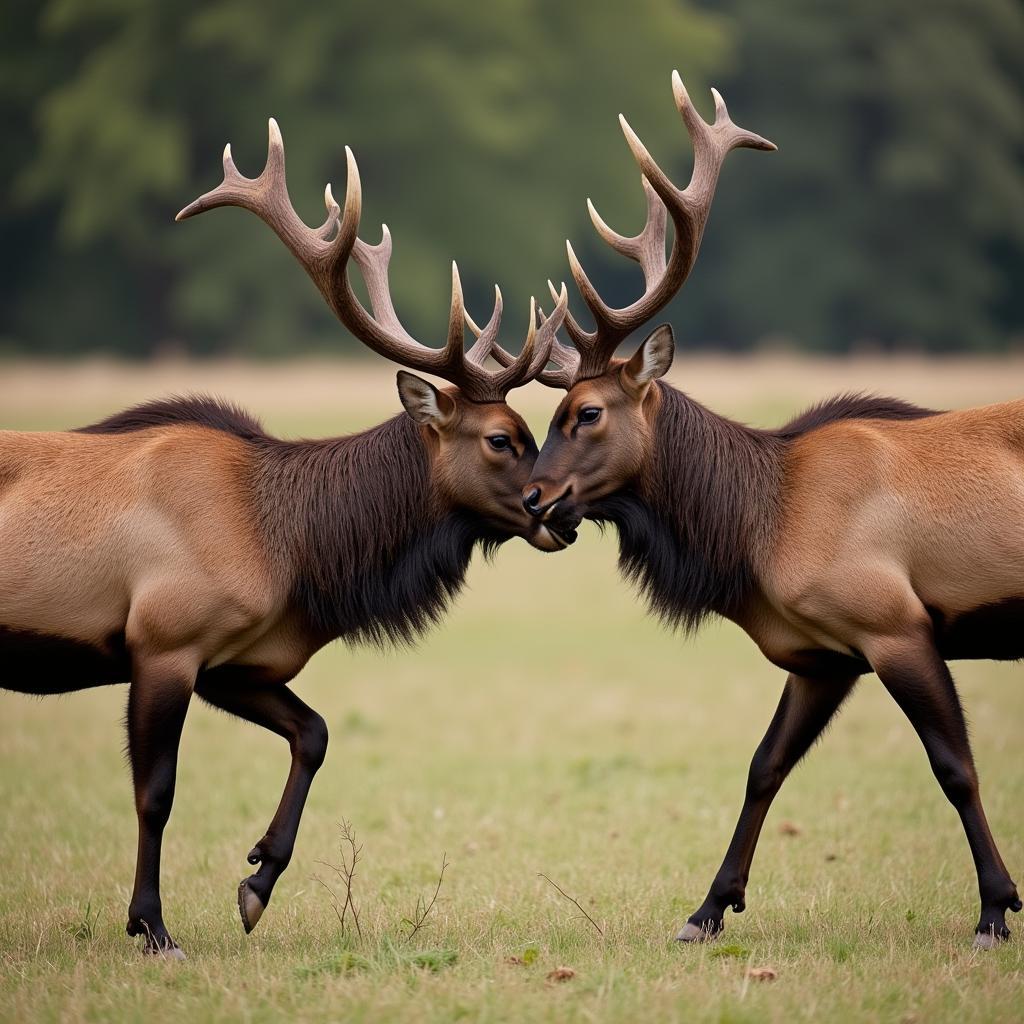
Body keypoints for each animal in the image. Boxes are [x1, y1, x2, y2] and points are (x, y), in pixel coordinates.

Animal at [0, 121, 577, 958]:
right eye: (503, 438)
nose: (563, 513)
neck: (294, 555)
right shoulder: (164, 640)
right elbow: (155, 792)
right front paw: (152, 925)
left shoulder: (234, 661)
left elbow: (315, 732)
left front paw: (256, 881)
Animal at [520, 74, 1024, 950]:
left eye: (585, 412)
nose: (534, 498)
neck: (761, 535)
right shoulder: (823, 655)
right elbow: (765, 766)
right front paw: (706, 909)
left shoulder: (895, 622)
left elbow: (955, 767)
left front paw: (996, 908)